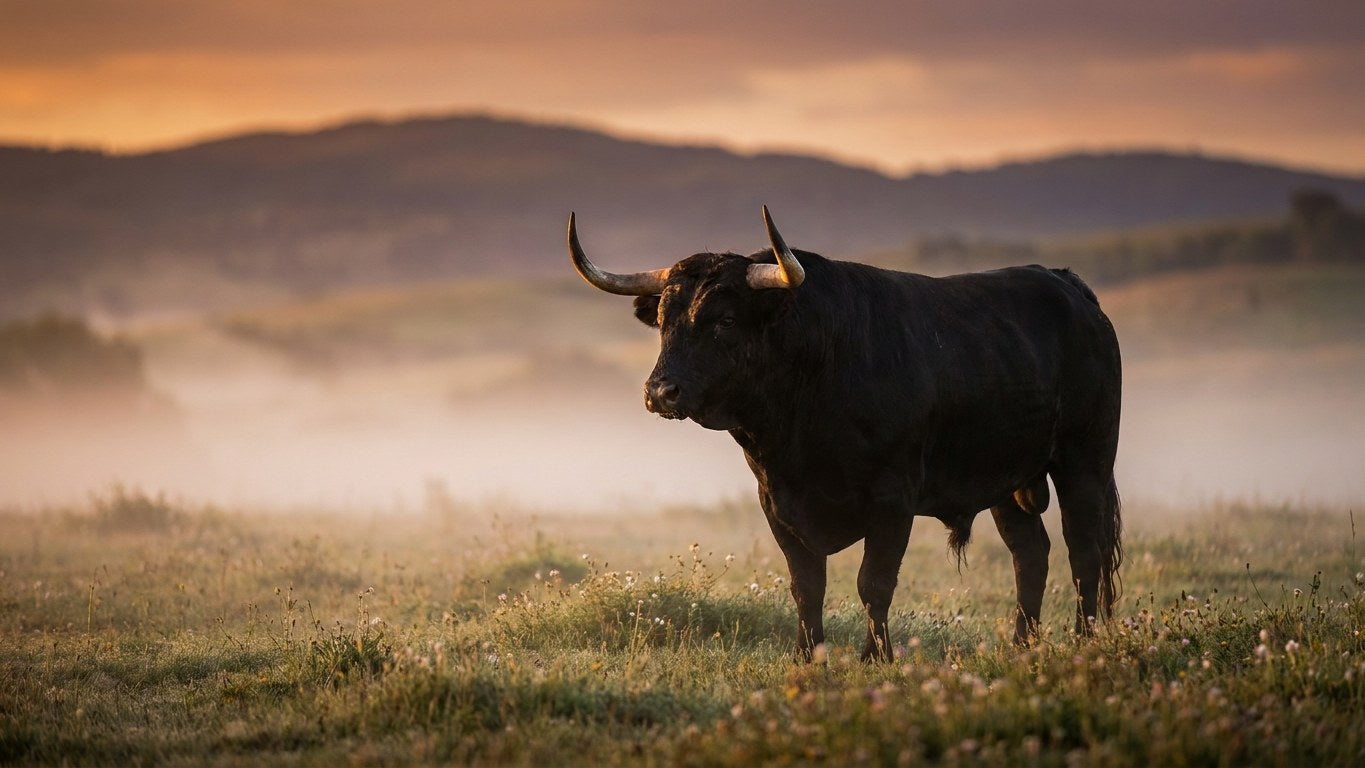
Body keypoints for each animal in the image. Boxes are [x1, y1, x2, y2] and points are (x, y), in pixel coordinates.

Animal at [567, 207, 1122, 661]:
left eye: (724, 320)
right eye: (663, 319)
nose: (660, 392)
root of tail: (1068, 286)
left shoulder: (893, 502)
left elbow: (873, 583)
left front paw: (876, 658)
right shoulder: (776, 504)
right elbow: (806, 585)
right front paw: (807, 657)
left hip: (1085, 460)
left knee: (1083, 550)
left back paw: (1083, 640)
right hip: (1008, 481)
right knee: (1030, 553)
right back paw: (1022, 645)